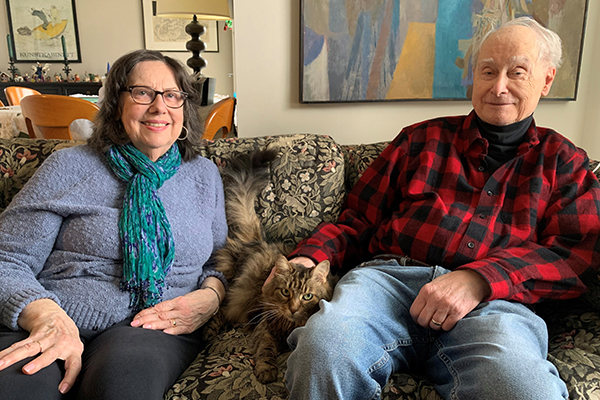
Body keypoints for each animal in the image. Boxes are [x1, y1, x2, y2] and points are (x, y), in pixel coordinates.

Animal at [214, 148, 338, 384]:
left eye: (307, 296)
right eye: (285, 292)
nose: (293, 308)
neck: (288, 324)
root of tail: (257, 240)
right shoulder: (264, 327)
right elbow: (265, 350)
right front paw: (266, 371)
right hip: (240, 298)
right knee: (220, 311)